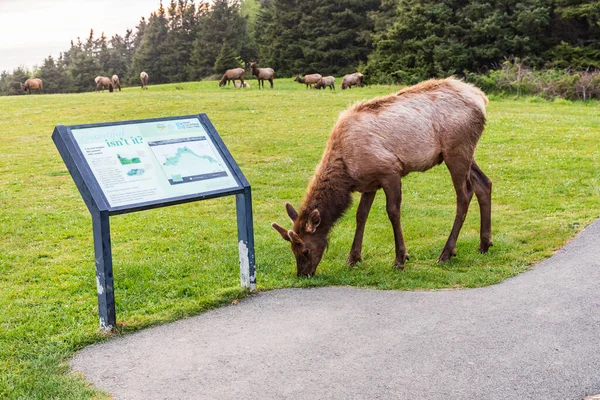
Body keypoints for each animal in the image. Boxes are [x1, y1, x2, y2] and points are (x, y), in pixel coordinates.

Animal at [272, 78, 492, 278]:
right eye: (292, 249)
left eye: (305, 250)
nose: (303, 274)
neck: (346, 175)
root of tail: (482, 99)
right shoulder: (369, 183)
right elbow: (361, 215)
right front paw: (353, 258)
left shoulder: (390, 171)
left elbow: (393, 212)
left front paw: (401, 259)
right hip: (463, 152)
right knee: (484, 183)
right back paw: (484, 243)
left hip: (456, 149)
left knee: (464, 194)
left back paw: (447, 252)